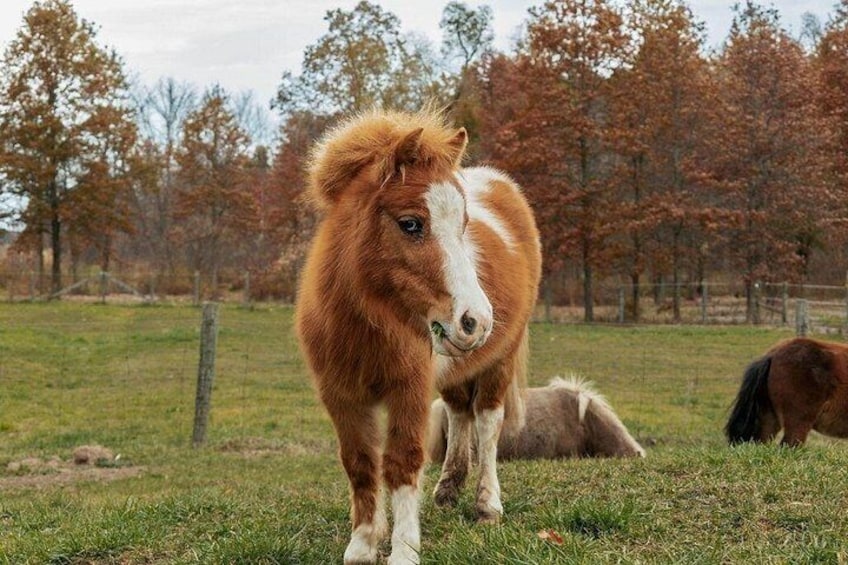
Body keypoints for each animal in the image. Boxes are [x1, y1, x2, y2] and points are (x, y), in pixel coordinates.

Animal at [294, 108, 541, 564]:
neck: (368, 322)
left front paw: (403, 549)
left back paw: (487, 505)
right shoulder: (341, 397)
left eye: (463, 225)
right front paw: (363, 545)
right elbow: (360, 463)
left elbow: (402, 463)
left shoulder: (408, 391)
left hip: (499, 361)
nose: (475, 320)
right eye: (410, 224)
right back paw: (447, 491)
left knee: (487, 424)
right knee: (460, 413)